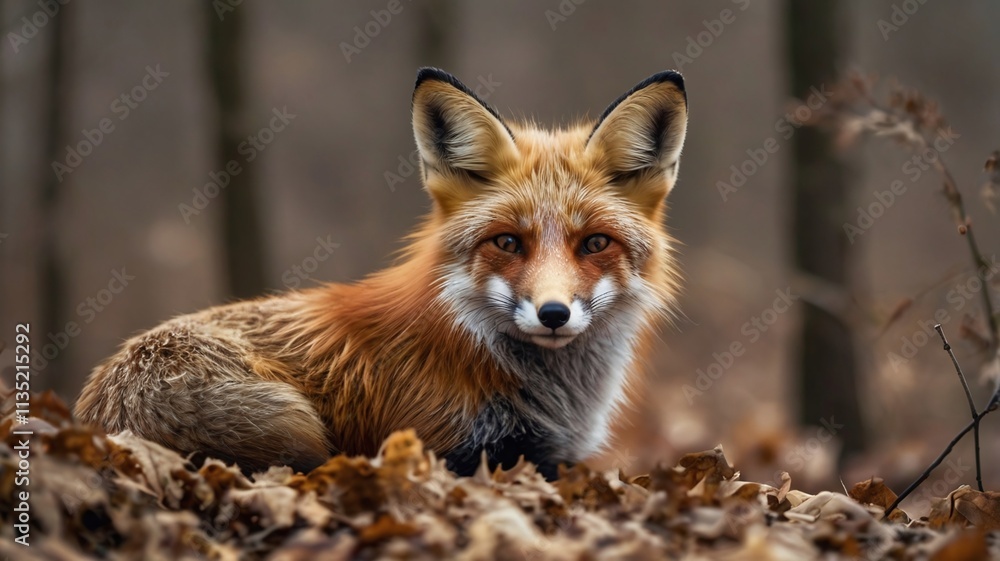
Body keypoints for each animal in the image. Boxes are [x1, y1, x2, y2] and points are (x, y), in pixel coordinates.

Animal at [74, 68, 688, 480]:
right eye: (508, 242)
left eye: (595, 243)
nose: (554, 313)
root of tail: (98, 418)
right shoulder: (448, 448)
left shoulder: (551, 456)